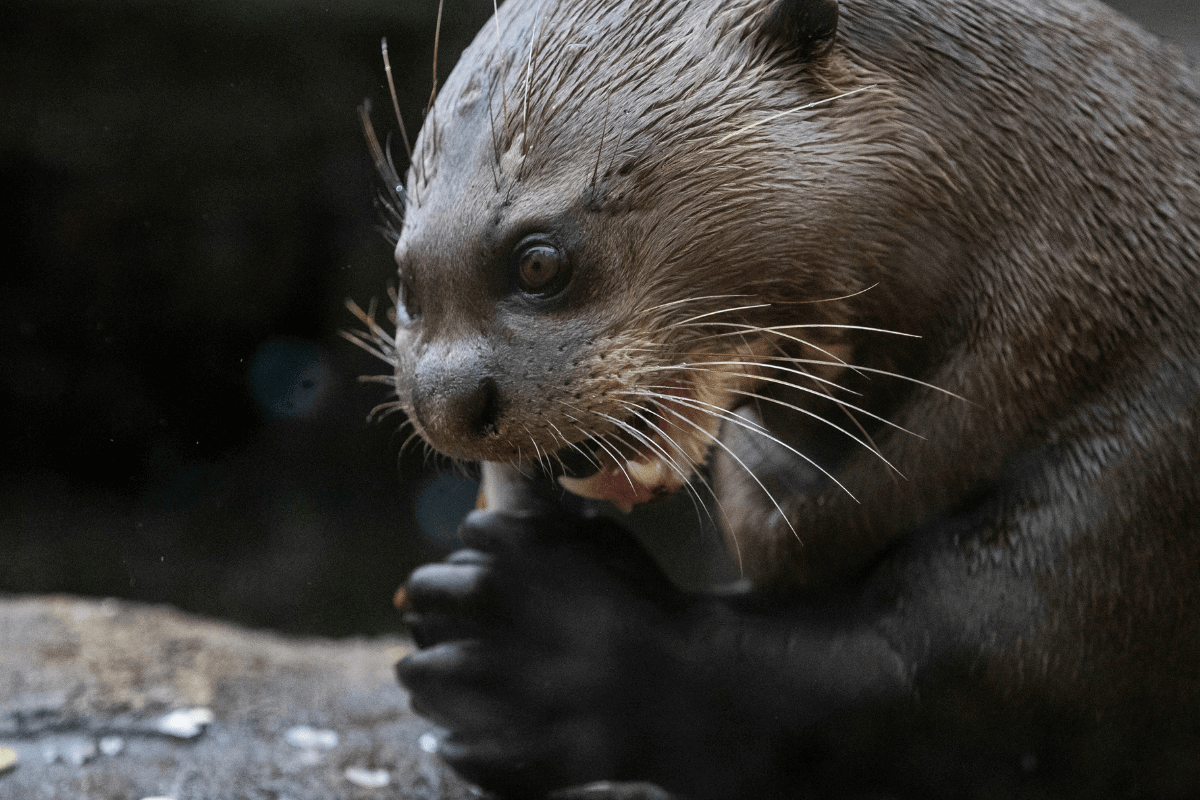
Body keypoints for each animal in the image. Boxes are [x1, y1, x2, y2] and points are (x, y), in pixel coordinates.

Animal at [356, 0, 1200, 796]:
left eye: (538, 262)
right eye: (403, 280)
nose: (445, 401)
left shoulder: (1132, 480)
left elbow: (911, 691)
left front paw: (544, 650)